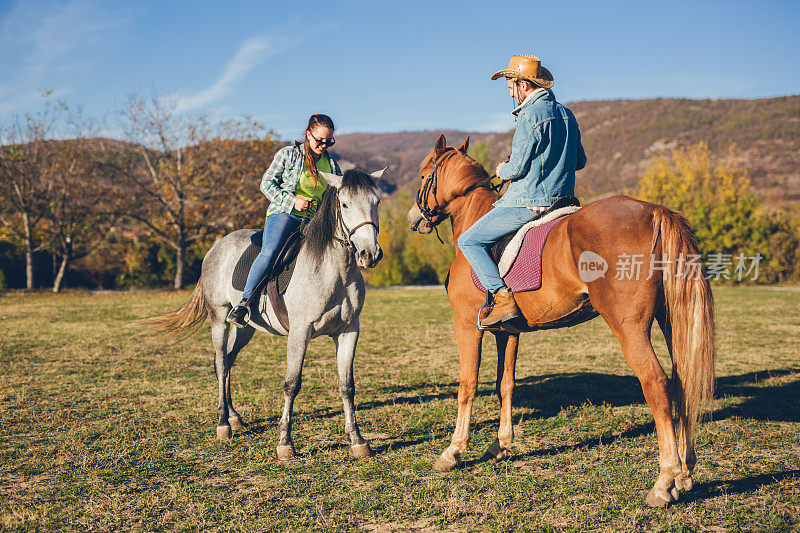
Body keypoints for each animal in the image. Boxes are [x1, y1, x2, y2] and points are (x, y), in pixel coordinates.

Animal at [145, 168, 388, 460]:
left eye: (376, 202)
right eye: (344, 204)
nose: (369, 254)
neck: (333, 270)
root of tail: (216, 246)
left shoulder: (349, 330)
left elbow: (347, 385)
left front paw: (357, 439)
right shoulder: (299, 332)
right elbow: (292, 384)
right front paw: (285, 443)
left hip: (246, 328)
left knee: (228, 361)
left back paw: (234, 416)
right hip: (219, 319)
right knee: (220, 362)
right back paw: (223, 424)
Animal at [406, 134, 712, 508]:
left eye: (424, 175)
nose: (414, 218)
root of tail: (655, 210)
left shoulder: (466, 326)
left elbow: (468, 386)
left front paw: (453, 451)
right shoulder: (507, 332)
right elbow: (505, 384)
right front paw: (501, 445)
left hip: (629, 328)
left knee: (656, 384)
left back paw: (664, 481)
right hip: (670, 321)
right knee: (683, 382)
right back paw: (684, 474)